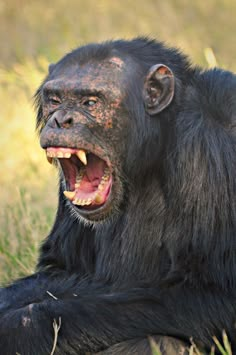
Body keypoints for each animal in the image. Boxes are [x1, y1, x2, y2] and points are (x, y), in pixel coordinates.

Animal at [0, 37, 236, 354]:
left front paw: (15, 325)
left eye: (90, 102)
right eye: (55, 99)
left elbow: (214, 295)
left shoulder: (209, 139)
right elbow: (61, 268)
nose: (62, 119)